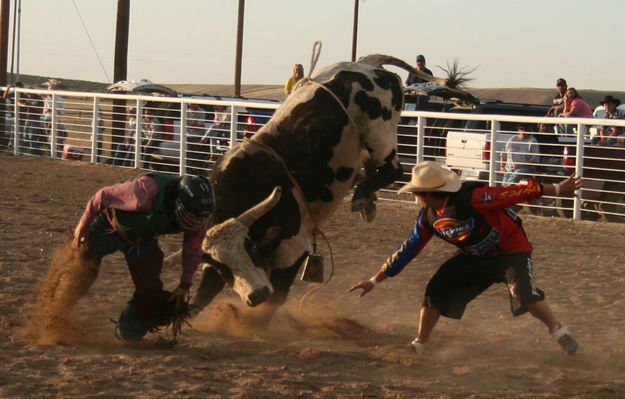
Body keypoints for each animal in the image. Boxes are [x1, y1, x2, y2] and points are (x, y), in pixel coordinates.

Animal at [163, 53, 442, 322]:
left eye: (250, 247)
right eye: (225, 268)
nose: (257, 294)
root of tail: (365, 63)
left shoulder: (292, 248)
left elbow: (275, 300)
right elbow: (203, 295)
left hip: (379, 130)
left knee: (393, 170)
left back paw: (362, 198)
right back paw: (368, 202)